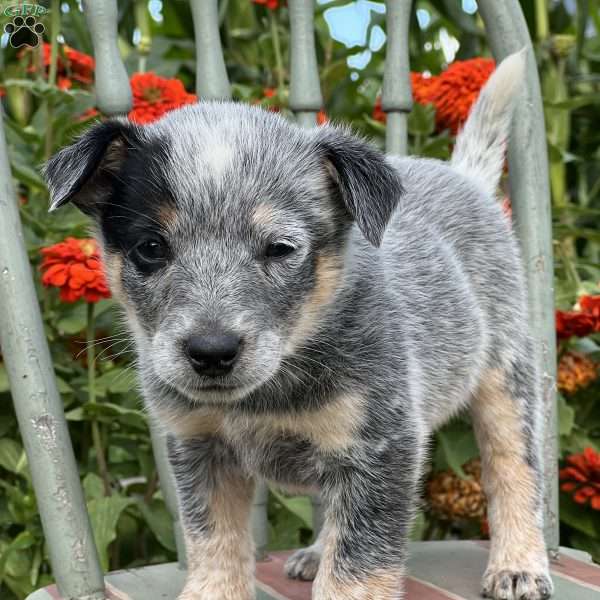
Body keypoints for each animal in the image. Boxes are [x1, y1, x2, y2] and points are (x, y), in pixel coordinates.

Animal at [45, 51, 552, 600]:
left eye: (280, 248)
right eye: (151, 248)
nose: (211, 351)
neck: (265, 395)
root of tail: (465, 179)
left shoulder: (383, 451)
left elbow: (355, 570)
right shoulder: (199, 450)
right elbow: (213, 544)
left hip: (506, 380)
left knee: (514, 470)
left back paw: (518, 565)